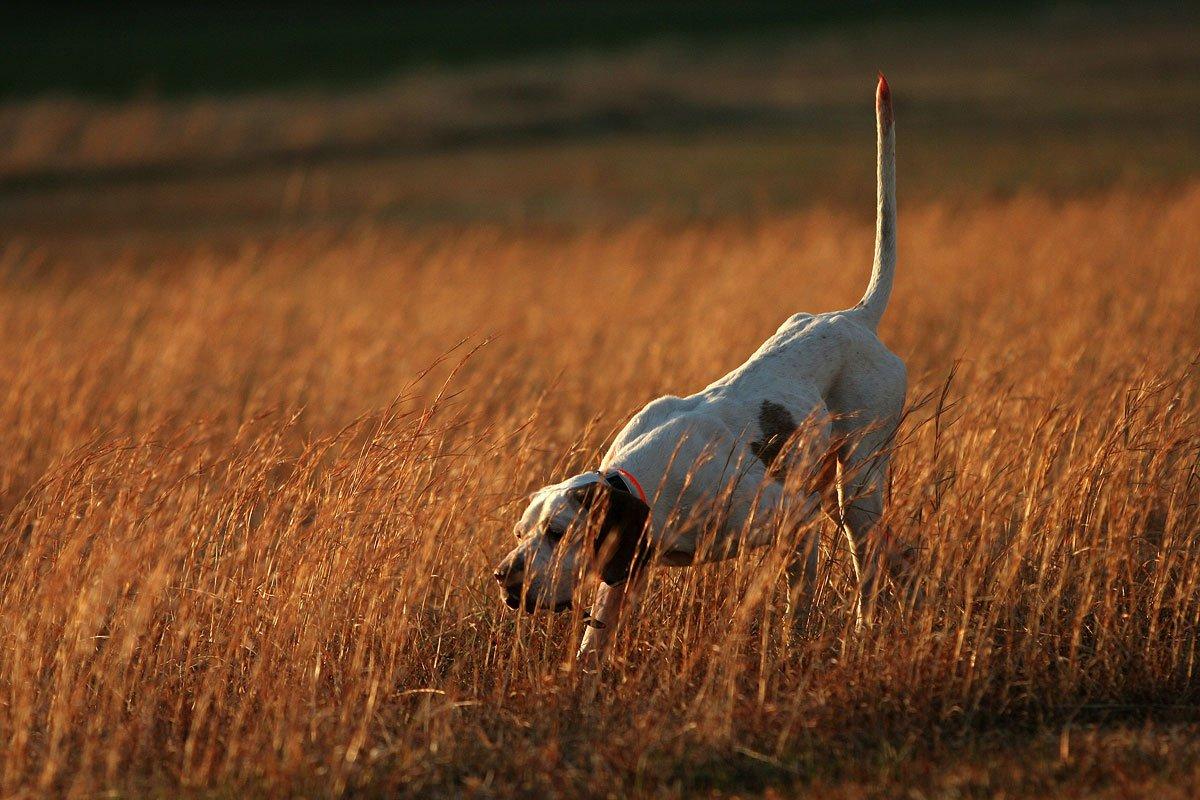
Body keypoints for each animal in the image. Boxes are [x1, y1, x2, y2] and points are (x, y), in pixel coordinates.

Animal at [492, 74, 902, 662]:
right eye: (521, 532)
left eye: (558, 532)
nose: (504, 577)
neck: (651, 482)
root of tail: (855, 316)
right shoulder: (626, 570)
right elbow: (595, 640)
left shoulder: (793, 523)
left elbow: (796, 606)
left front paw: (788, 648)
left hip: (859, 489)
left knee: (868, 563)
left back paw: (865, 631)